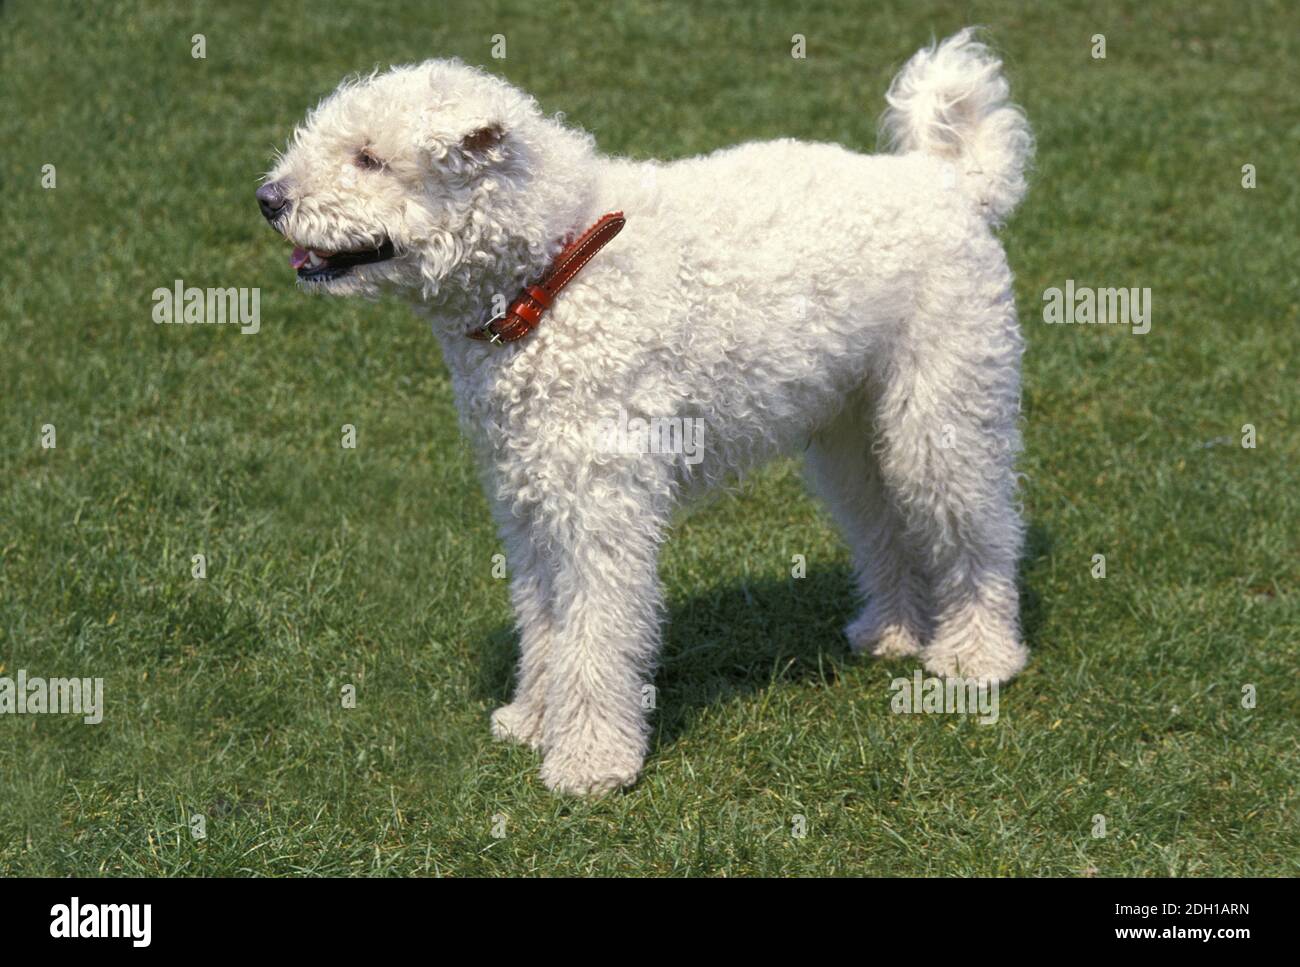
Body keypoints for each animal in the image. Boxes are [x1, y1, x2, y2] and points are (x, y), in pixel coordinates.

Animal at [258, 30, 1034, 795]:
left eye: (369, 157)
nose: (268, 198)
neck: (554, 273)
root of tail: (948, 182)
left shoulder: (600, 501)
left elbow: (596, 632)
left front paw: (589, 761)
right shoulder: (531, 496)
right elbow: (545, 621)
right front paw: (532, 719)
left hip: (943, 412)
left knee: (981, 530)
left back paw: (978, 656)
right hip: (853, 432)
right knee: (888, 526)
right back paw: (893, 633)